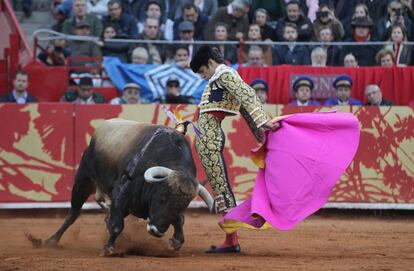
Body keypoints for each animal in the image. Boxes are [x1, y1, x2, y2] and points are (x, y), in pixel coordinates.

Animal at [29, 120, 213, 258]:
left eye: (183, 206)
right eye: (162, 197)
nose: (156, 232)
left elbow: (179, 222)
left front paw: (174, 242)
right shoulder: (122, 192)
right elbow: (117, 225)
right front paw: (109, 249)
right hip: (83, 179)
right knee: (73, 213)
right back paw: (50, 241)